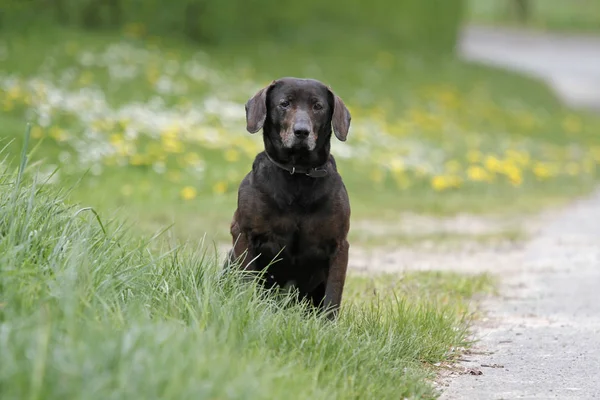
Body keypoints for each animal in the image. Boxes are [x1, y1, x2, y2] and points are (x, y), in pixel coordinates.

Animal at [225, 76, 352, 320]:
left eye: (318, 106)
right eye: (284, 104)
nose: (301, 131)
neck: (297, 174)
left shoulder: (339, 246)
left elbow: (333, 296)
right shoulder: (243, 233)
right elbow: (247, 279)